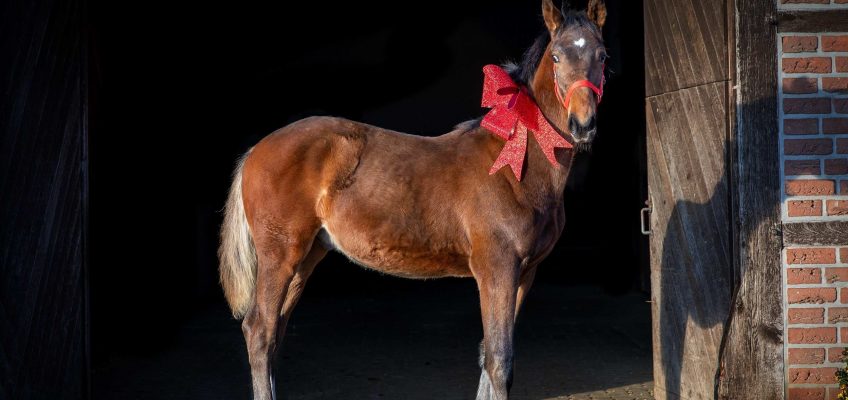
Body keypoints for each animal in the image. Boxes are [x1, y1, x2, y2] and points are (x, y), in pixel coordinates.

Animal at [215, 1, 608, 398]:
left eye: (602, 55)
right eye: (556, 56)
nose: (583, 125)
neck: (517, 167)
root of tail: (255, 150)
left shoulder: (525, 273)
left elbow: (488, 357)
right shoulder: (497, 269)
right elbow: (499, 362)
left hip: (306, 258)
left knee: (275, 333)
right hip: (279, 256)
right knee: (260, 331)